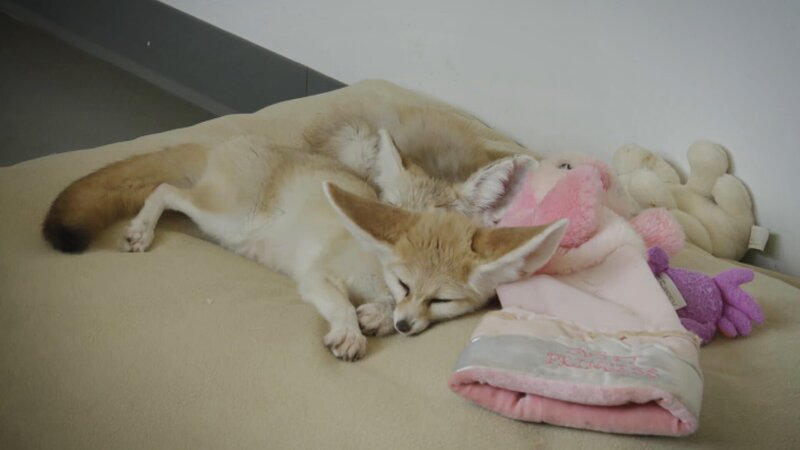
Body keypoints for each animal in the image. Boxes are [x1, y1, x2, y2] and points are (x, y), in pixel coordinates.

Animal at [42, 130, 567, 361]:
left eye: (441, 299)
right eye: (390, 210)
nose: (400, 319)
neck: (379, 280)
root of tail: (221, 137)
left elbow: (389, 311)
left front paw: (380, 318)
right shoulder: (318, 275)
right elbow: (340, 304)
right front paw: (353, 328)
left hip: (218, 225)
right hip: (225, 216)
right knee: (164, 190)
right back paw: (141, 228)